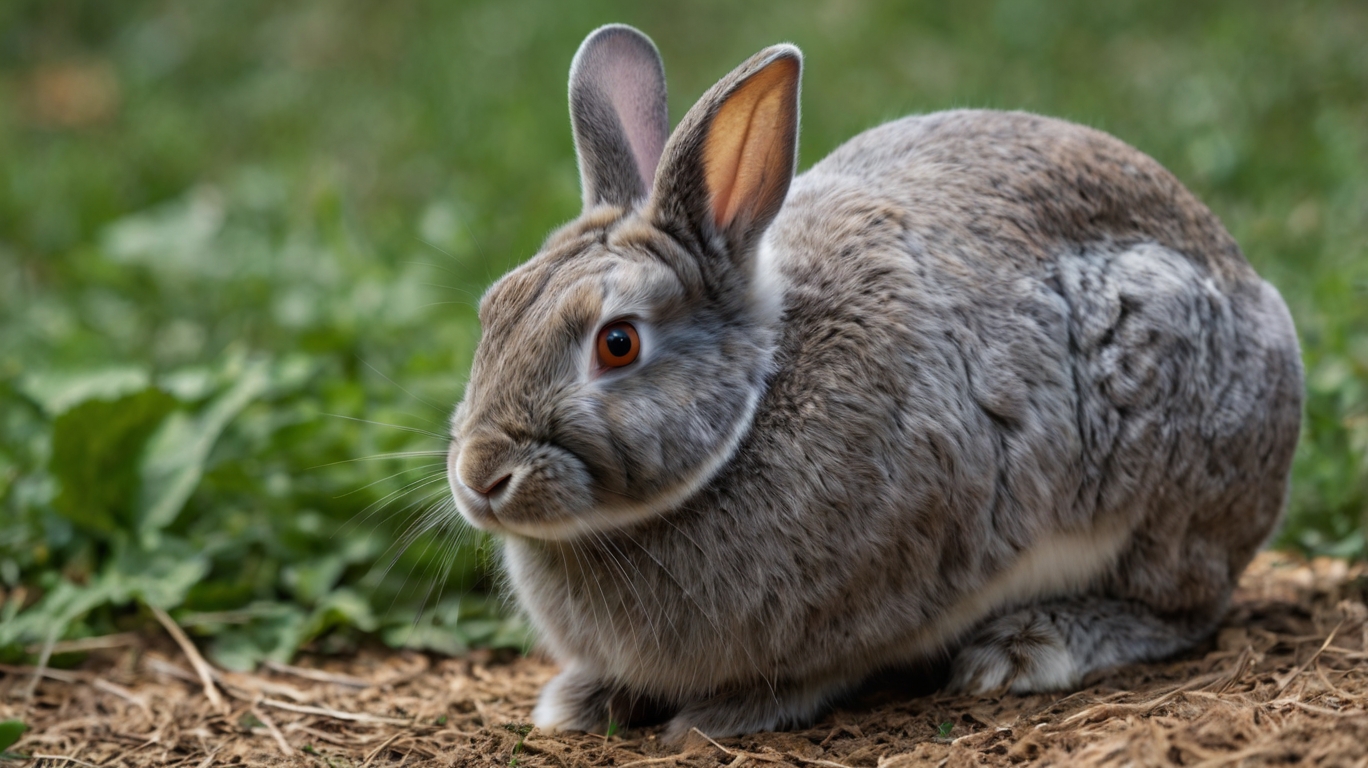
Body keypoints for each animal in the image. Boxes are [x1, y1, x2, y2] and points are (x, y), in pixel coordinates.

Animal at [445, 23, 1302, 739]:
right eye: (494, 309)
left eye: (617, 344)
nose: (481, 478)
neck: (753, 410)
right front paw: (579, 701)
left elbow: (820, 671)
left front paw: (717, 718)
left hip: (1165, 462)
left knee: (1187, 605)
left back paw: (1031, 646)